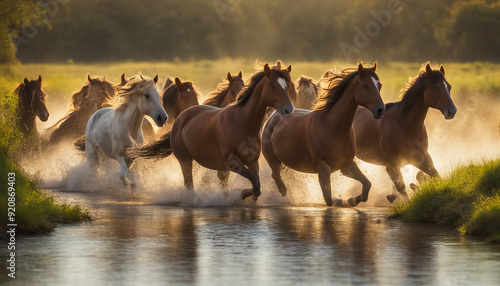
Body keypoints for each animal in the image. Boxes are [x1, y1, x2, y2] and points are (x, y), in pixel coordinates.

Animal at [135, 62, 294, 201]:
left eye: (287, 86)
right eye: (273, 85)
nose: (289, 109)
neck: (242, 122)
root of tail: (180, 118)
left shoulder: (252, 161)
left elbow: (257, 185)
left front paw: (247, 194)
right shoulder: (232, 163)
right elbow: (253, 182)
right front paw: (241, 194)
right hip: (185, 160)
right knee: (189, 183)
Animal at [260, 62, 384, 207]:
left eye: (379, 85)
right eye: (365, 85)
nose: (381, 110)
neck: (335, 129)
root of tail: (274, 114)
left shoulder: (347, 165)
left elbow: (367, 185)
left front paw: (352, 200)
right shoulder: (323, 167)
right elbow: (328, 199)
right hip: (273, 160)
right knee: (276, 176)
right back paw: (280, 192)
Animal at [354, 62, 456, 202]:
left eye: (449, 86)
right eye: (436, 87)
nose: (452, 111)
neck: (405, 126)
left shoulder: (422, 157)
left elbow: (434, 174)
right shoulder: (391, 164)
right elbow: (401, 187)